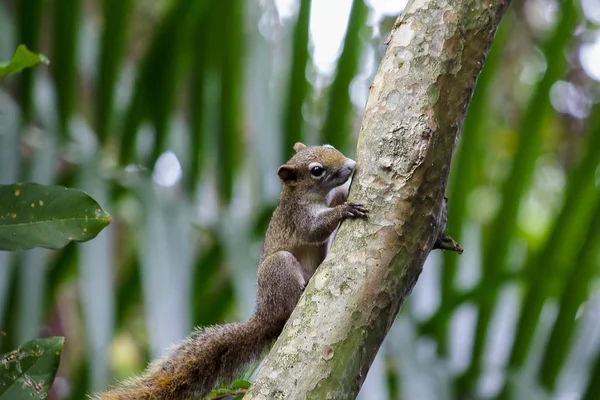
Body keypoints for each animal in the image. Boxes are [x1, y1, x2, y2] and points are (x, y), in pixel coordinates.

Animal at [94, 144, 368, 400]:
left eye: (329, 147)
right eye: (316, 170)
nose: (350, 165)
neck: (312, 196)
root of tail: (264, 317)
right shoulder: (298, 217)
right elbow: (315, 230)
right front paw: (344, 210)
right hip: (277, 269)